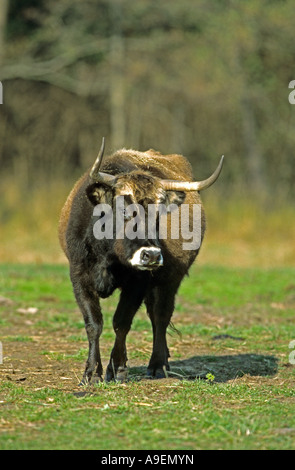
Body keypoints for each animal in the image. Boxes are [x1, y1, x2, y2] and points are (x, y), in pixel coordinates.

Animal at [58, 139, 224, 382]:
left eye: (159, 212)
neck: (107, 258)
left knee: (160, 317)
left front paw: (117, 368)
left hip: (169, 281)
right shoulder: (79, 277)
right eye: (123, 207)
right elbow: (94, 324)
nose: (152, 255)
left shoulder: (138, 283)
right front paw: (92, 372)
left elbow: (121, 322)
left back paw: (157, 364)